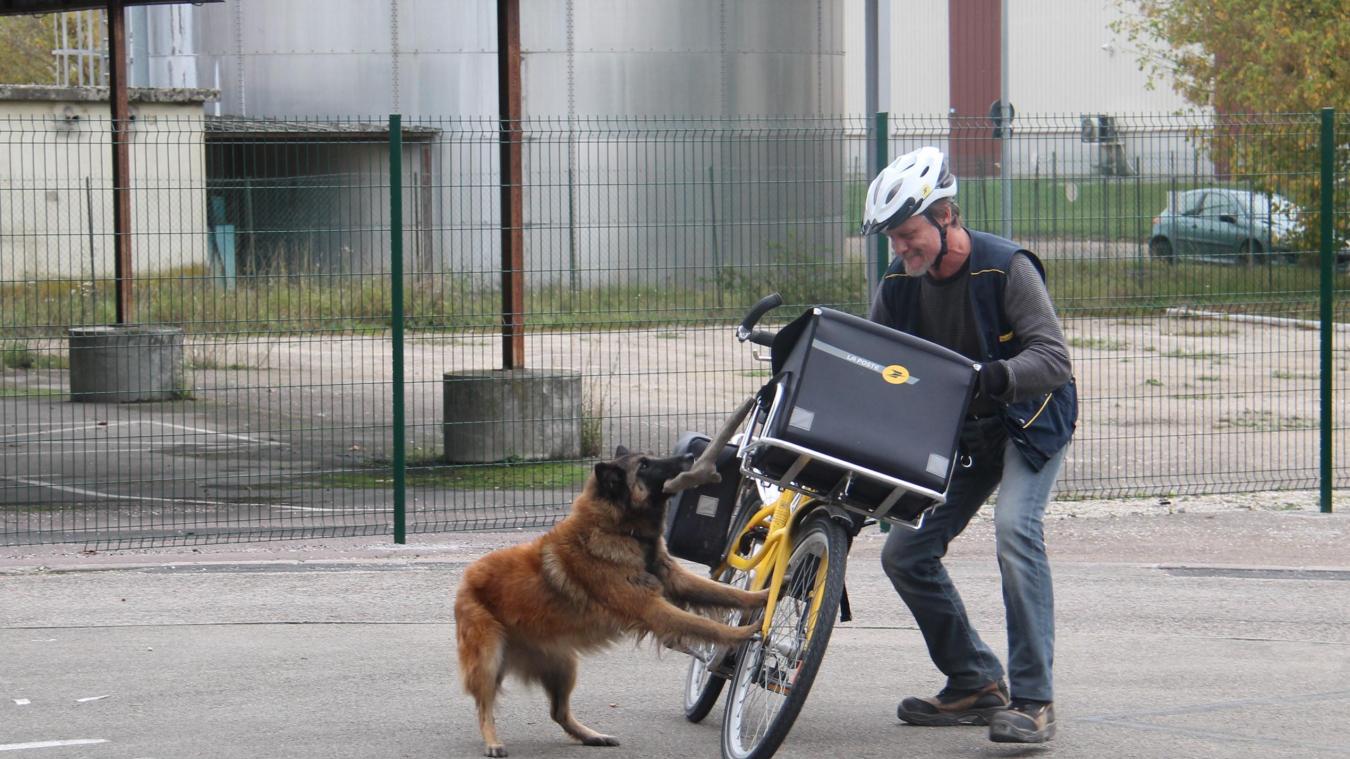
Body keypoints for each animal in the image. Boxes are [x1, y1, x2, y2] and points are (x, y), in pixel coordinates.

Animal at [456, 445, 766, 750]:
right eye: (644, 465)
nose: (690, 456)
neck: (619, 529)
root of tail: (466, 579)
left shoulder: (677, 581)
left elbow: (728, 593)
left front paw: (767, 595)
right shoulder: (650, 607)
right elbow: (705, 625)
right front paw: (745, 634)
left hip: (563, 665)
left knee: (558, 713)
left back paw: (592, 736)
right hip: (489, 660)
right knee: (484, 707)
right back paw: (493, 742)